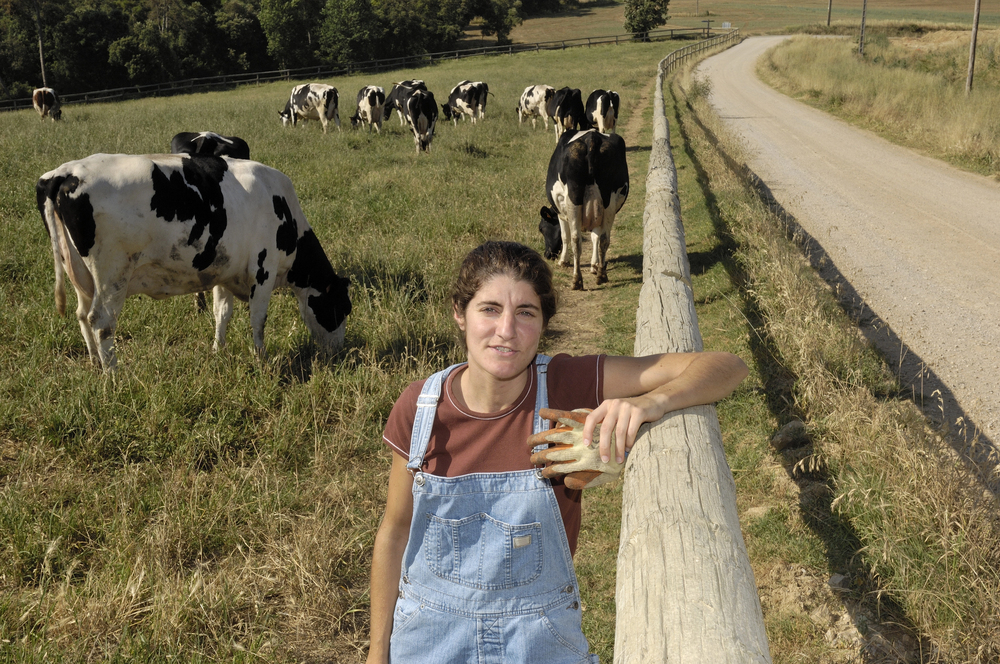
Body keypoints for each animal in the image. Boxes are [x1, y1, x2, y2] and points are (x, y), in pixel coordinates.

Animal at [35, 152, 354, 368]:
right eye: (342, 308)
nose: (339, 352)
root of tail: (64, 172)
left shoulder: (224, 270)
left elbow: (221, 313)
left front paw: (218, 350)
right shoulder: (263, 268)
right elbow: (258, 319)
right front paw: (260, 358)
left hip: (80, 274)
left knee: (81, 315)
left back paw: (95, 363)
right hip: (112, 272)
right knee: (101, 321)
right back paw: (113, 374)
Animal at [540, 131, 624, 290]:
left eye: (541, 228)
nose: (547, 255)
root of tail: (592, 136)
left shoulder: (560, 210)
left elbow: (565, 236)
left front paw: (563, 261)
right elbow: (595, 237)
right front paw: (595, 265)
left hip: (573, 199)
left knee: (575, 239)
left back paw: (577, 280)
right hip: (609, 200)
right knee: (604, 239)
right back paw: (601, 275)